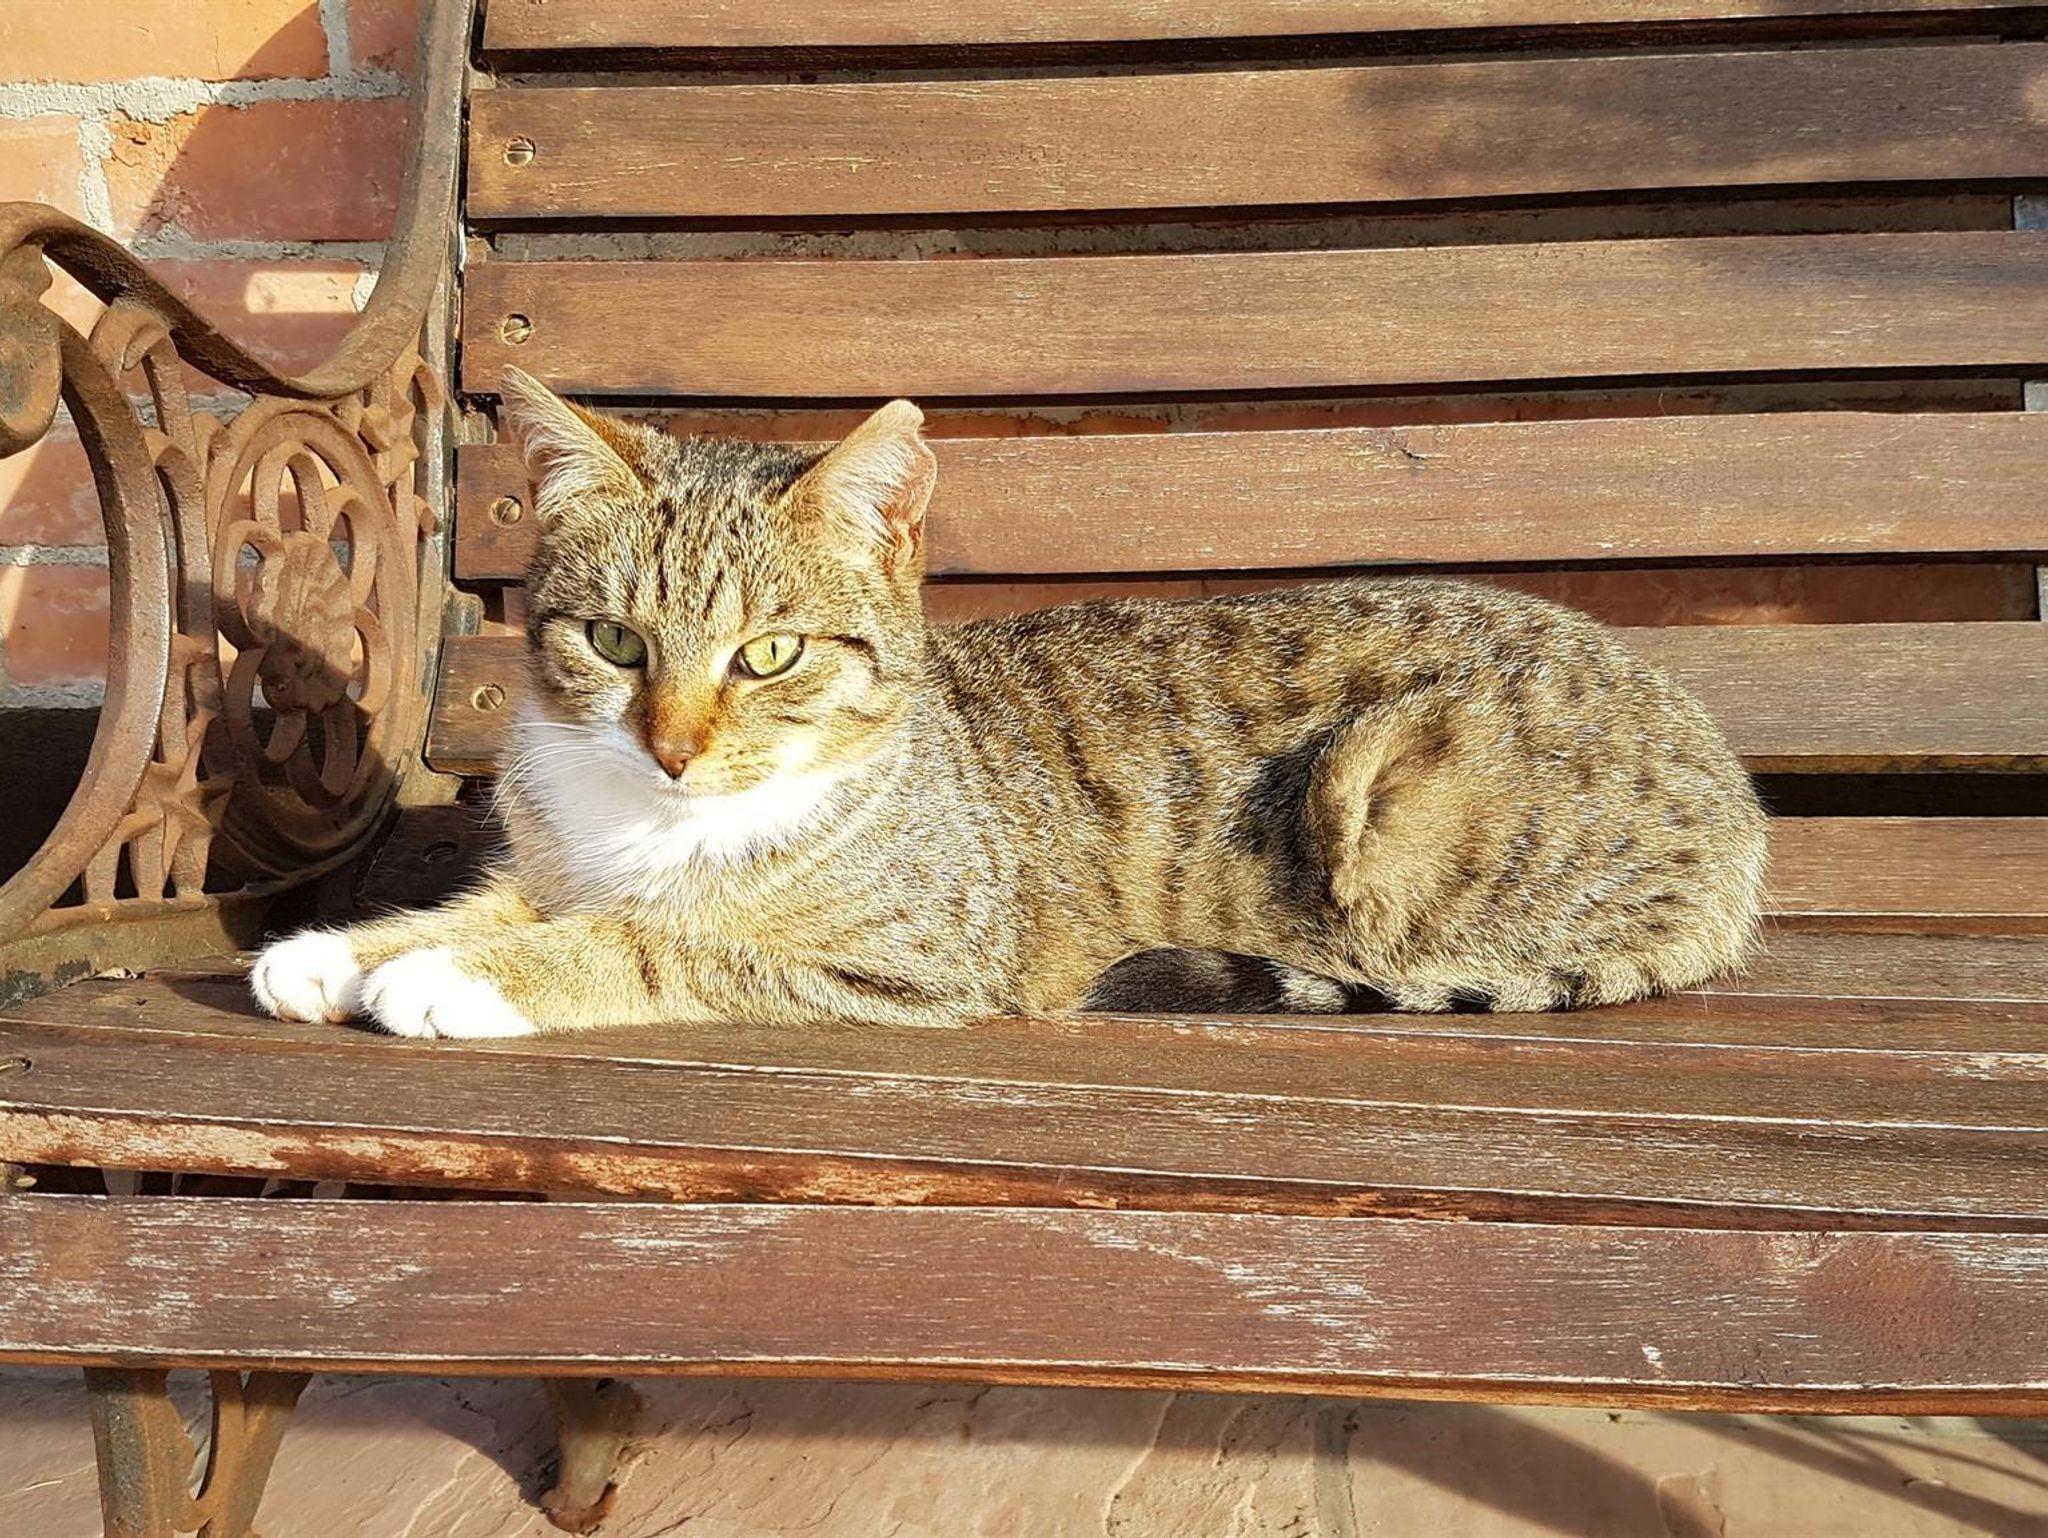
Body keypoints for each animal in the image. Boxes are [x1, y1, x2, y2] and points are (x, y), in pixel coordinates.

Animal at [250, 367, 1767, 1039]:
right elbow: (501, 898)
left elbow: (664, 941)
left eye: (769, 654)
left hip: (1385, 801)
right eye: (617, 640)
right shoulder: (559, 855)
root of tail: (1737, 801)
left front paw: (452, 976)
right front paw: (347, 947)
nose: (671, 749)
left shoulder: (904, 964)